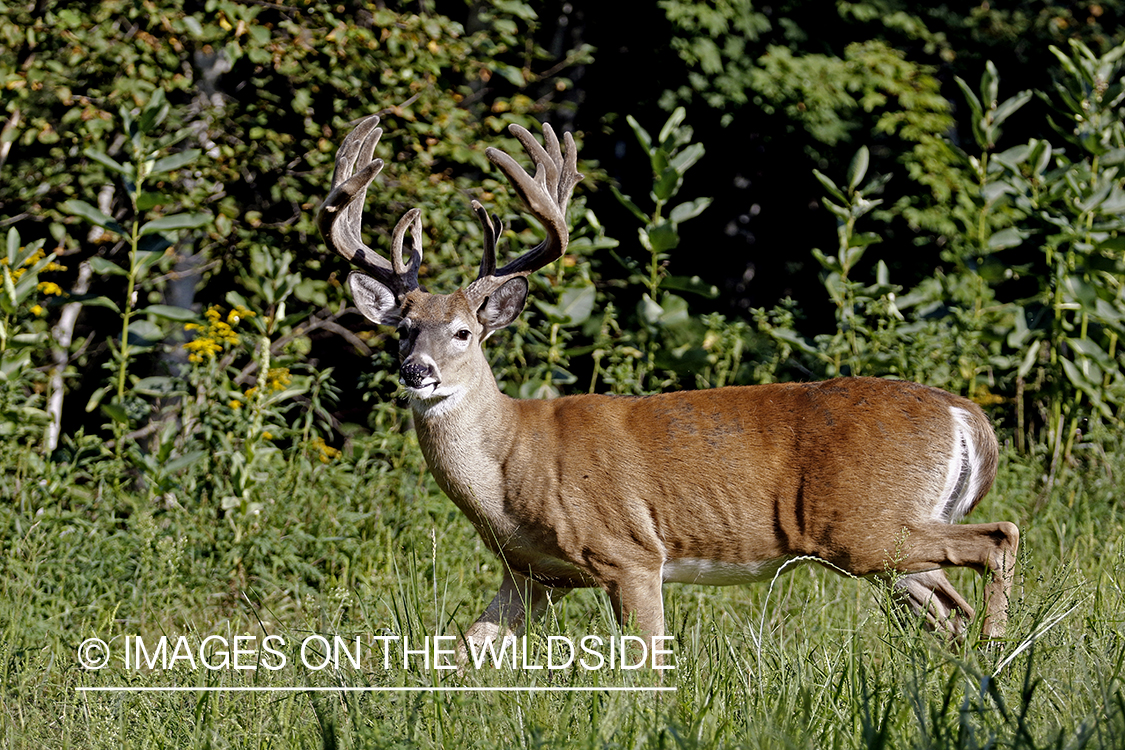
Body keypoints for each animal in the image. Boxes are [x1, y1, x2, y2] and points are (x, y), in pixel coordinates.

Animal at [315, 114, 1021, 665]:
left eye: (462, 332)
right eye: (402, 330)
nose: (417, 371)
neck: (511, 465)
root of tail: (965, 415)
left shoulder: (629, 552)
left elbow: (647, 666)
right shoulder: (532, 574)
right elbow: (463, 651)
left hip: (867, 526)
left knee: (999, 539)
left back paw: (998, 649)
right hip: (887, 544)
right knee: (948, 604)